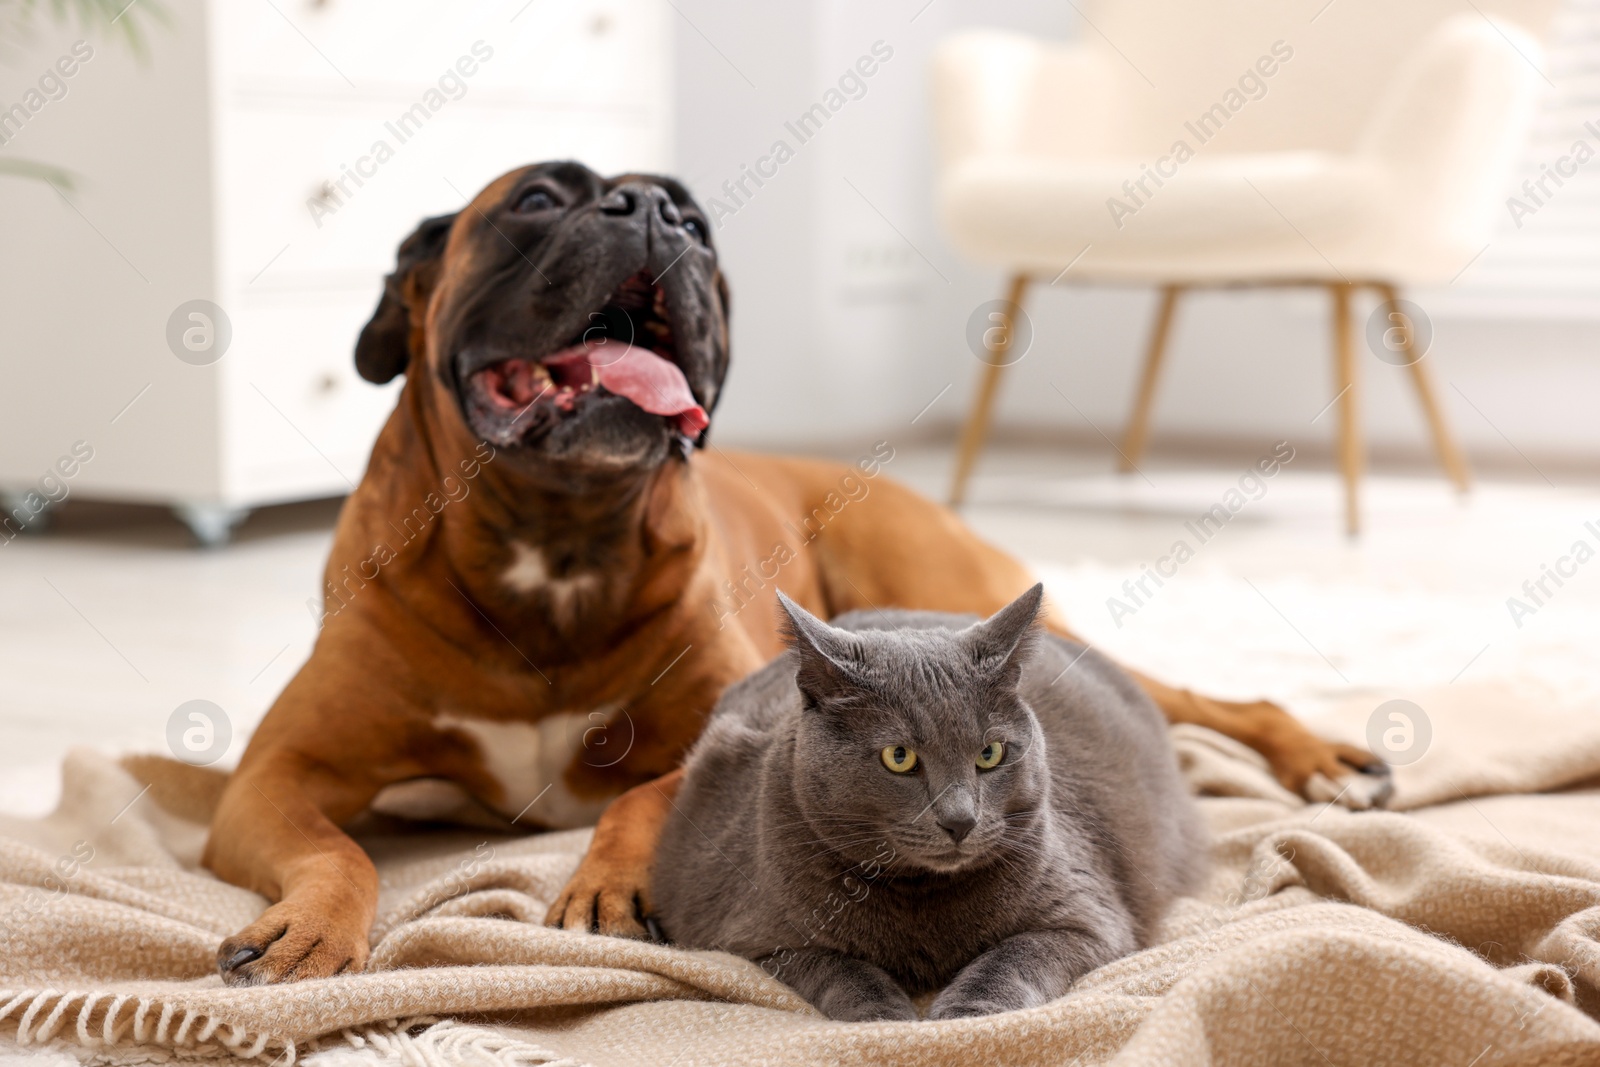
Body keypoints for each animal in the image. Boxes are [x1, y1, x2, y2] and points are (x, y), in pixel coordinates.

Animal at [649, 588, 1203, 1023]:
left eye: (990, 753)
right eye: (899, 757)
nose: (960, 819)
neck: (922, 894)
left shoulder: (1088, 917)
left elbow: (1016, 953)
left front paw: (968, 1013)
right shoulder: (754, 938)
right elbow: (837, 966)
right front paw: (883, 1015)